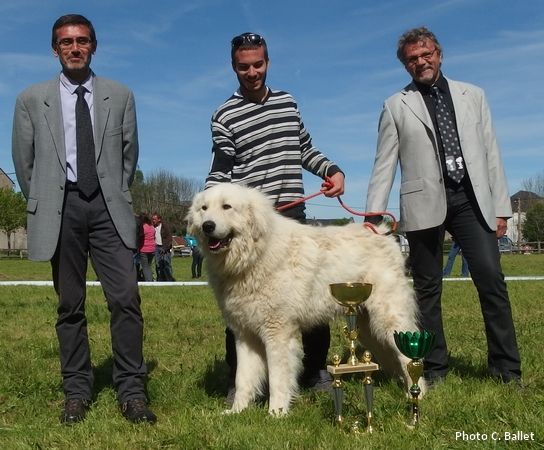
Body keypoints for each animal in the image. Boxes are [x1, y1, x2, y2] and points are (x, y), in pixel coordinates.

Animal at [188, 183, 424, 414]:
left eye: (226, 207)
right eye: (204, 209)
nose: (207, 226)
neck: (255, 255)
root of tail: (383, 233)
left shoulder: (277, 332)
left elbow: (277, 378)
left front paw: (276, 413)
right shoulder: (245, 334)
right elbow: (243, 378)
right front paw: (237, 411)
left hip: (388, 319)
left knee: (408, 355)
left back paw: (416, 394)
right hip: (368, 328)